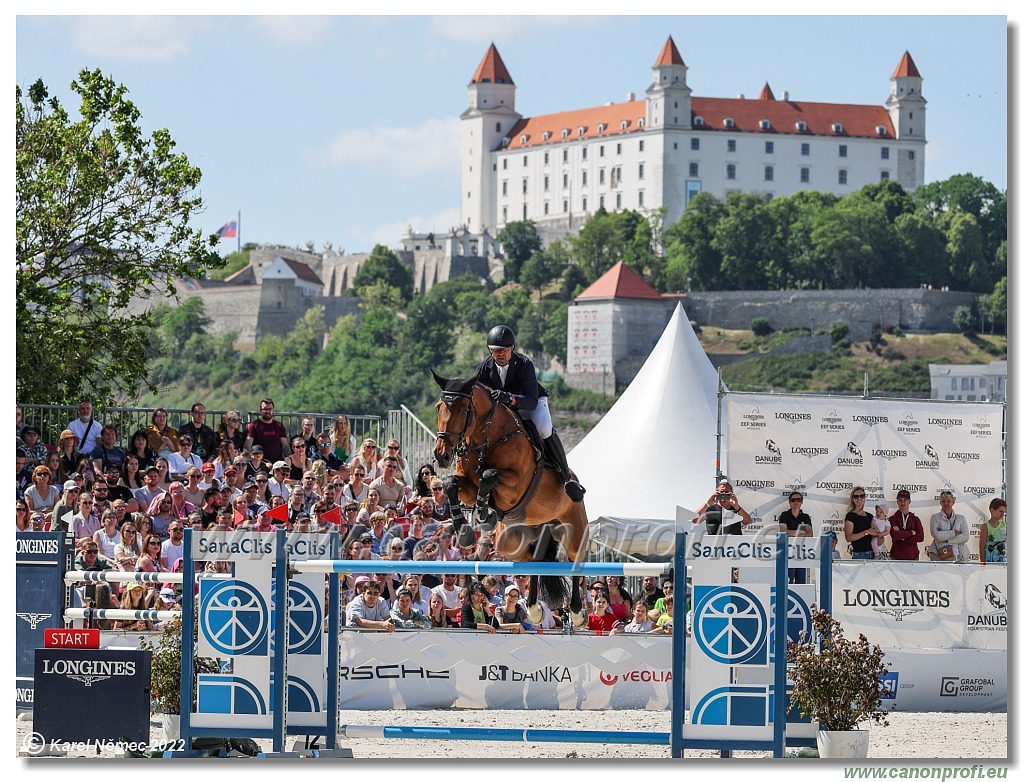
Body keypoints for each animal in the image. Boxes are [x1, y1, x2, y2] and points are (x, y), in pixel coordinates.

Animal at [432, 370, 589, 626]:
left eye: (463, 410)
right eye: (439, 408)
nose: (441, 455)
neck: (486, 437)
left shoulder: (515, 486)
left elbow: (489, 475)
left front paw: (484, 513)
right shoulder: (467, 487)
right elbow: (451, 484)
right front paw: (464, 530)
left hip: (572, 526)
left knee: (575, 558)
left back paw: (576, 611)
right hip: (511, 542)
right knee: (535, 560)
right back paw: (534, 609)